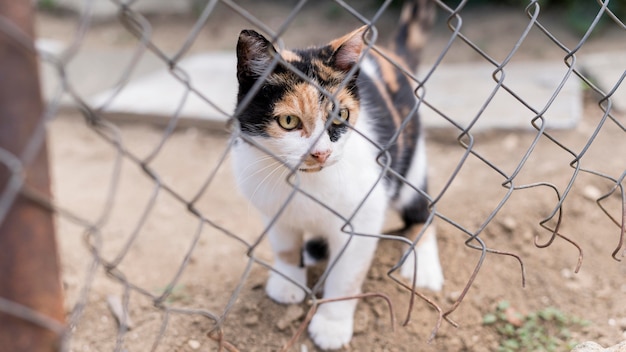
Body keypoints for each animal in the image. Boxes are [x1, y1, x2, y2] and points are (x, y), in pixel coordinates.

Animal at [229, 0, 438, 350]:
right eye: (288, 121)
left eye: (340, 115)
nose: (321, 153)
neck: (306, 182)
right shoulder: (271, 205)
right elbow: (284, 245)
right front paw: (287, 283)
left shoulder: (363, 215)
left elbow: (347, 274)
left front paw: (332, 324)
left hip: (411, 160)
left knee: (421, 210)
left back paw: (424, 266)